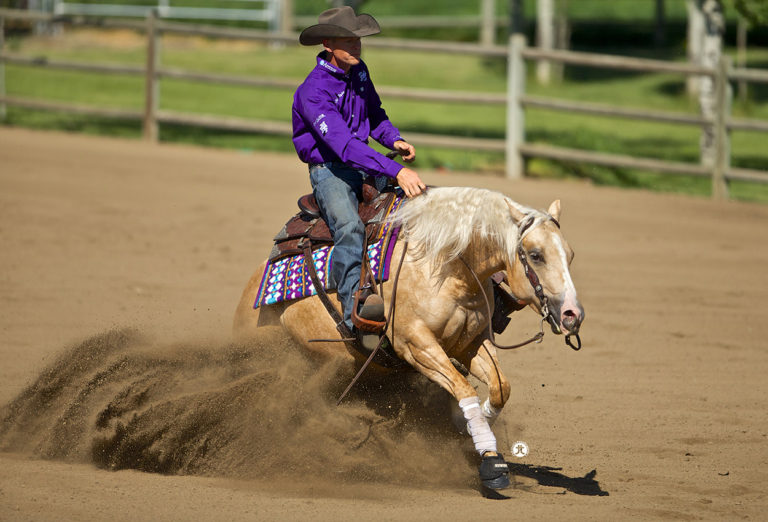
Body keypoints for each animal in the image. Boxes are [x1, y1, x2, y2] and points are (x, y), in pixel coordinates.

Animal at [233, 186, 584, 490]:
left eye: (570, 254)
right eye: (536, 255)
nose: (573, 314)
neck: (445, 266)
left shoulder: (469, 343)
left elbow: (499, 388)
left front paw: (466, 427)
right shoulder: (416, 346)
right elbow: (464, 388)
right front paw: (489, 460)